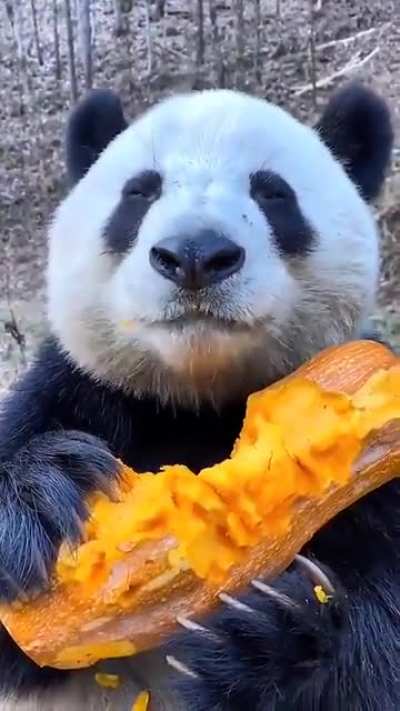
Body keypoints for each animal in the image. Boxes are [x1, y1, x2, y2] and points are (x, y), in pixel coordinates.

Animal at [0, 82, 396, 711]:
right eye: (139, 192)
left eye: (273, 193)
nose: (194, 255)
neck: (201, 400)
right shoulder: (75, 388)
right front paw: (43, 496)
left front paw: (270, 644)